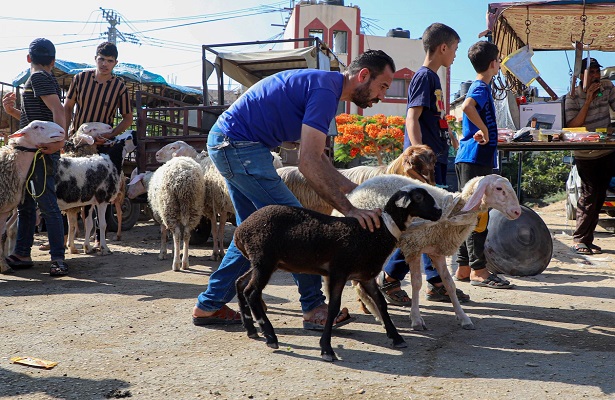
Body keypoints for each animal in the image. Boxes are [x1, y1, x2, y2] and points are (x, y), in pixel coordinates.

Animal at [344, 173, 524, 330]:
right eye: (499, 188)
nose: (517, 212)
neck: (453, 210)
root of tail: (356, 191)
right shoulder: (414, 246)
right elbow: (416, 283)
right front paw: (416, 319)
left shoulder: (436, 251)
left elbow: (449, 283)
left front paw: (463, 318)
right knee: (360, 283)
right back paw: (378, 315)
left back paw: (369, 308)